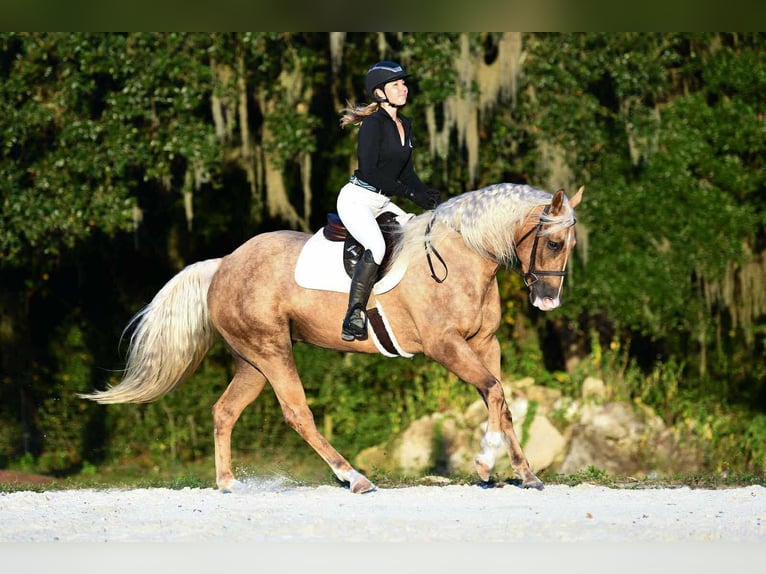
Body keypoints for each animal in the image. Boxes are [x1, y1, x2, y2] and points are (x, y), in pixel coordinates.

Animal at [80, 182, 584, 494]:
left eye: (570, 246)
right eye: (553, 243)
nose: (548, 302)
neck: (462, 255)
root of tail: (223, 264)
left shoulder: (484, 345)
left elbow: (501, 401)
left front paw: (524, 473)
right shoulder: (446, 347)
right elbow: (495, 392)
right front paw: (484, 463)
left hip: (253, 361)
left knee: (224, 411)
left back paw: (227, 483)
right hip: (272, 352)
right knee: (297, 413)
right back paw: (354, 477)